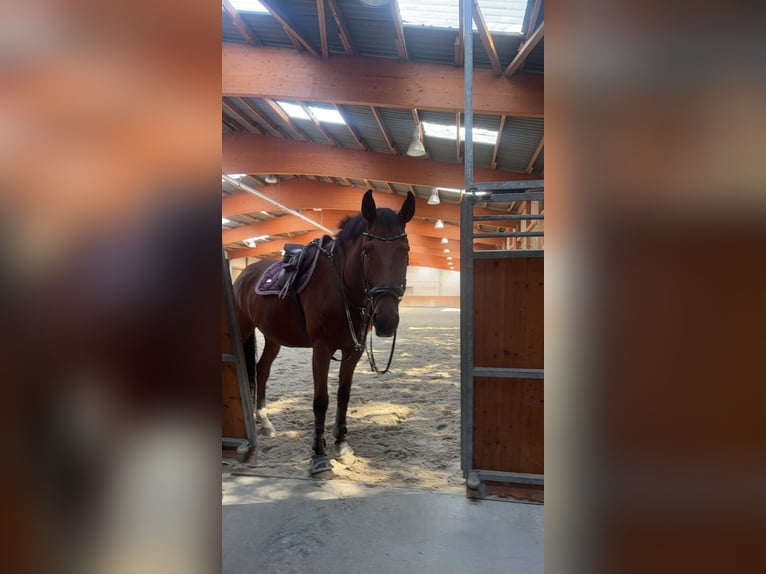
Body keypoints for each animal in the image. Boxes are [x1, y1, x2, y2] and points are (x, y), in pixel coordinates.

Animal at [233, 189, 415, 475]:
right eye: (367, 251)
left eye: (405, 251)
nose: (386, 321)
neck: (341, 287)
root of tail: (245, 273)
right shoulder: (321, 349)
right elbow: (321, 400)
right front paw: (318, 454)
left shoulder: (353, 350)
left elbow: (343, 396)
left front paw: (341, 443)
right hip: (242, 329)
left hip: (273, 337)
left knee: (262, 370)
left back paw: (265, 423)